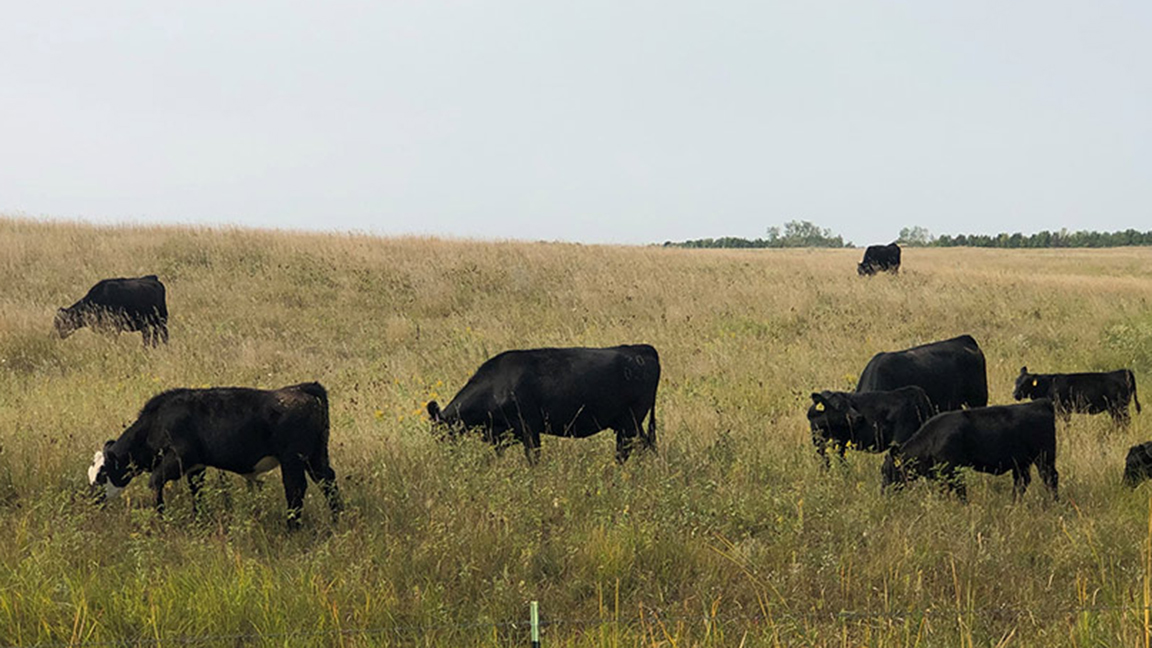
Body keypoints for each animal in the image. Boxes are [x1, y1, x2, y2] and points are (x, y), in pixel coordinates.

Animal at [86, 380, 338, 528]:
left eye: (102, 474)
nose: (94, 502)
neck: (158, 420)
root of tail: (302, 388)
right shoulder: (196, 466)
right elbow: (196, 492)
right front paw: (198, 519)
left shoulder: (178, 459)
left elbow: (155, 482)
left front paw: (161, 518)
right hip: (316, 457)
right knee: (328, 481)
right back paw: (338, 517)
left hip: (293, 460)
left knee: (295, 489)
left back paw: (292, 527)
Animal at [426, 341, 663, 461]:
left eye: (440, 434)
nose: (442, 457)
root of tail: (642, 349)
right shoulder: (501, 434)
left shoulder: (529, 429)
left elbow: (533, 459)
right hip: (633, 423)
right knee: (647, 445)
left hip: (629, 423)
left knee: (625, 451)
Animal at [880, 398, 1059, 500]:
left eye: (887, 471)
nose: (883, 493)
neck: (932, 439)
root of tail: (1041, 403)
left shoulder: (953, 469)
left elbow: (960, 491)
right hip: (1022, 463)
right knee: (1022, 481)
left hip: (1044, 458)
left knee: (1050, 478)